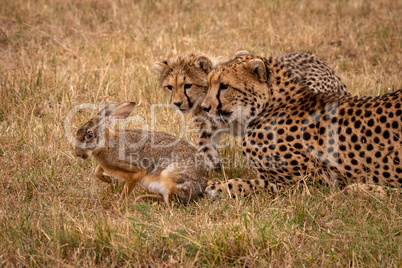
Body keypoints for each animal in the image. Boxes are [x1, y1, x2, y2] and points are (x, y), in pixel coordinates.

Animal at [154, 51, 348, 171]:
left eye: (187, 85)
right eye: (169, 87)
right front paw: (212, 164)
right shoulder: (208, 127)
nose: (177, 103)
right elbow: (205, 144)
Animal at [203, 55, 400, 197]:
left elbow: (245, 183)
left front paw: (213, 185)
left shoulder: (310, 182)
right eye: (209, 84)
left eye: (224, 86)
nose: (205, 107)